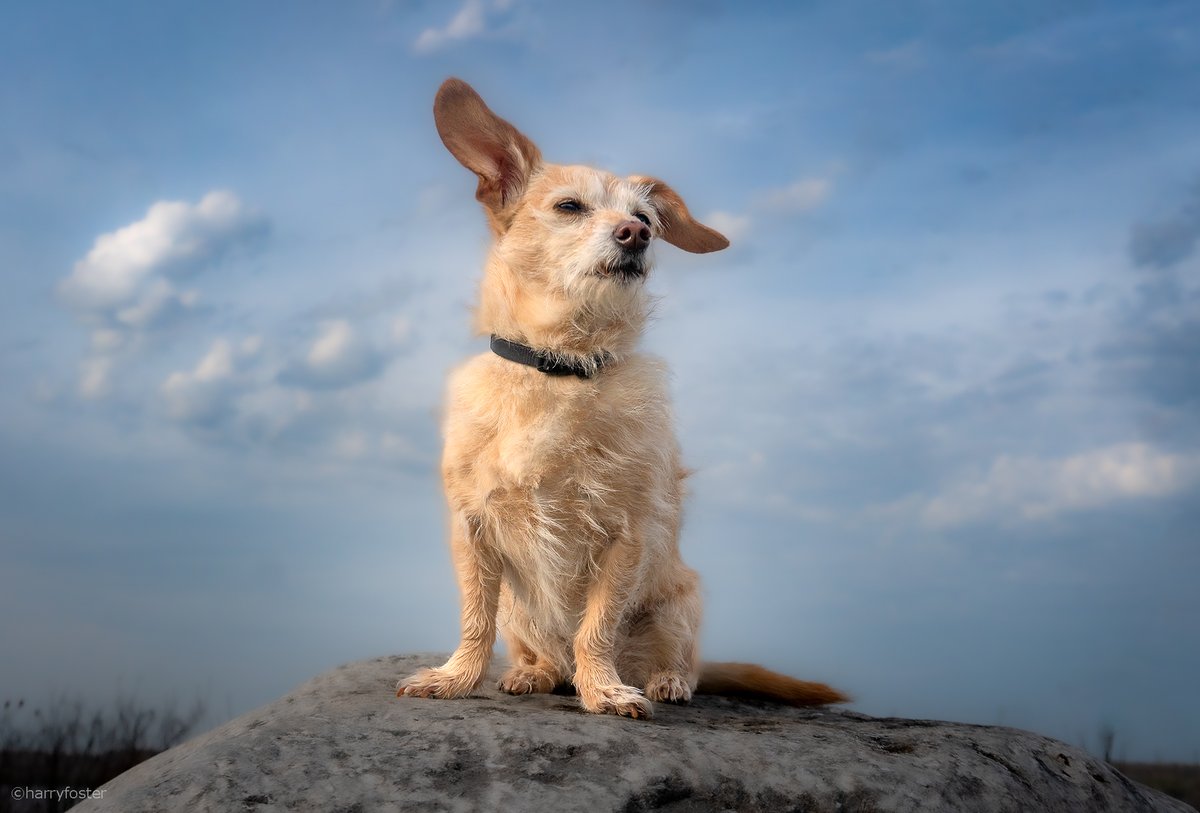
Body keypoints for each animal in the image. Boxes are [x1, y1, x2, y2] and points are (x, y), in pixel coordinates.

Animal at [393, 77, 844, 719]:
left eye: (643, 215)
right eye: (569, 207)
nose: (639, 235)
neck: (561, 367)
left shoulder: (626, 534)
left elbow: (597, 626)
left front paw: (604, 689)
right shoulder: (473, 527)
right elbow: (475, 620)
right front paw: (455, 678)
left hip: (682, 602)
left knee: (678, 661)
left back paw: (663, 681)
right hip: (520, 609)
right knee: (540, 650)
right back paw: (534, 673)